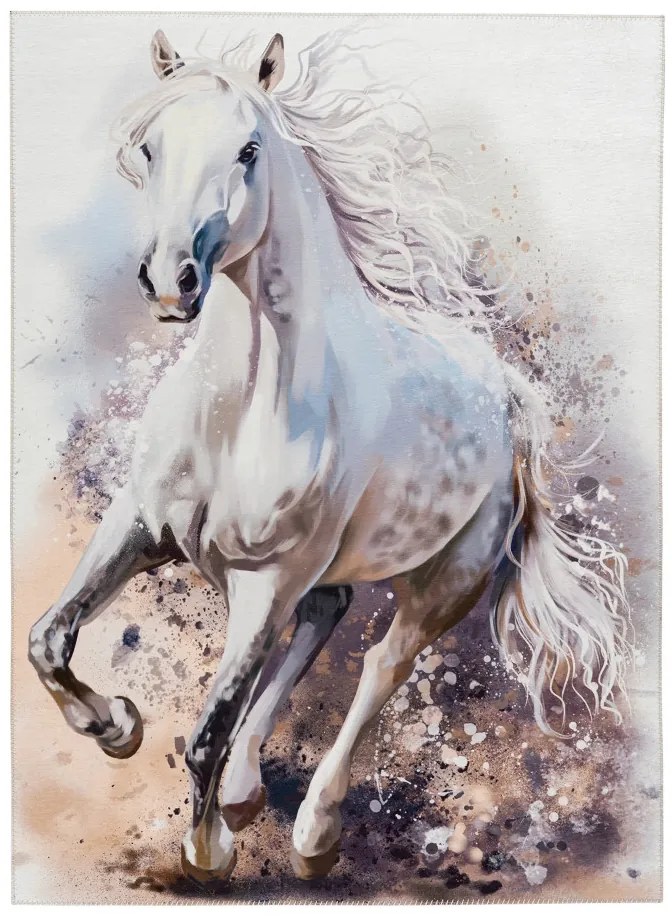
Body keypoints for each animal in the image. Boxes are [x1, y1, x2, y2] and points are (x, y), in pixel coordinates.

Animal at [28, 28, 631, 884]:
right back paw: (248, 790)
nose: (173, 281)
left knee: (381, 664)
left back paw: (313, 830)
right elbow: (47, 640)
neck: (238, 413)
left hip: (449, 579)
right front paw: (116, 725)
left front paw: (207, 851)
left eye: (248, 149)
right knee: (327, 614)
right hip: (327, 571)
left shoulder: (266, 580)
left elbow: (207, 731)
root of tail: (507, 394)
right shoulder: (141, 524)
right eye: (150, 147)